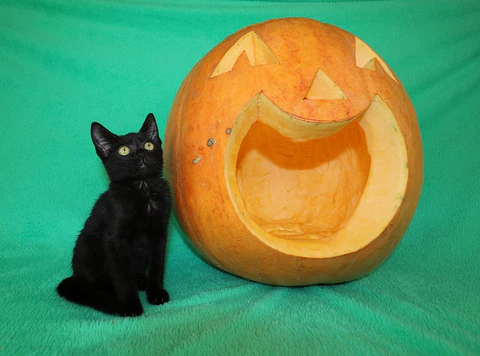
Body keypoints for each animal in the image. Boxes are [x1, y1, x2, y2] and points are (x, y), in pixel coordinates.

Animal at [57, 113, 172, 318]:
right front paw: (130, 306)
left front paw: (156, 293)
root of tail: (76, 276)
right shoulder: (115, 240)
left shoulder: (160, 233)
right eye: (124, 150)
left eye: (149, 145)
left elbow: (157, 266)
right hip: (86, 246)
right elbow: (123, 276)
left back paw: (141, 280)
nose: (141, 154)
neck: (143, 190)